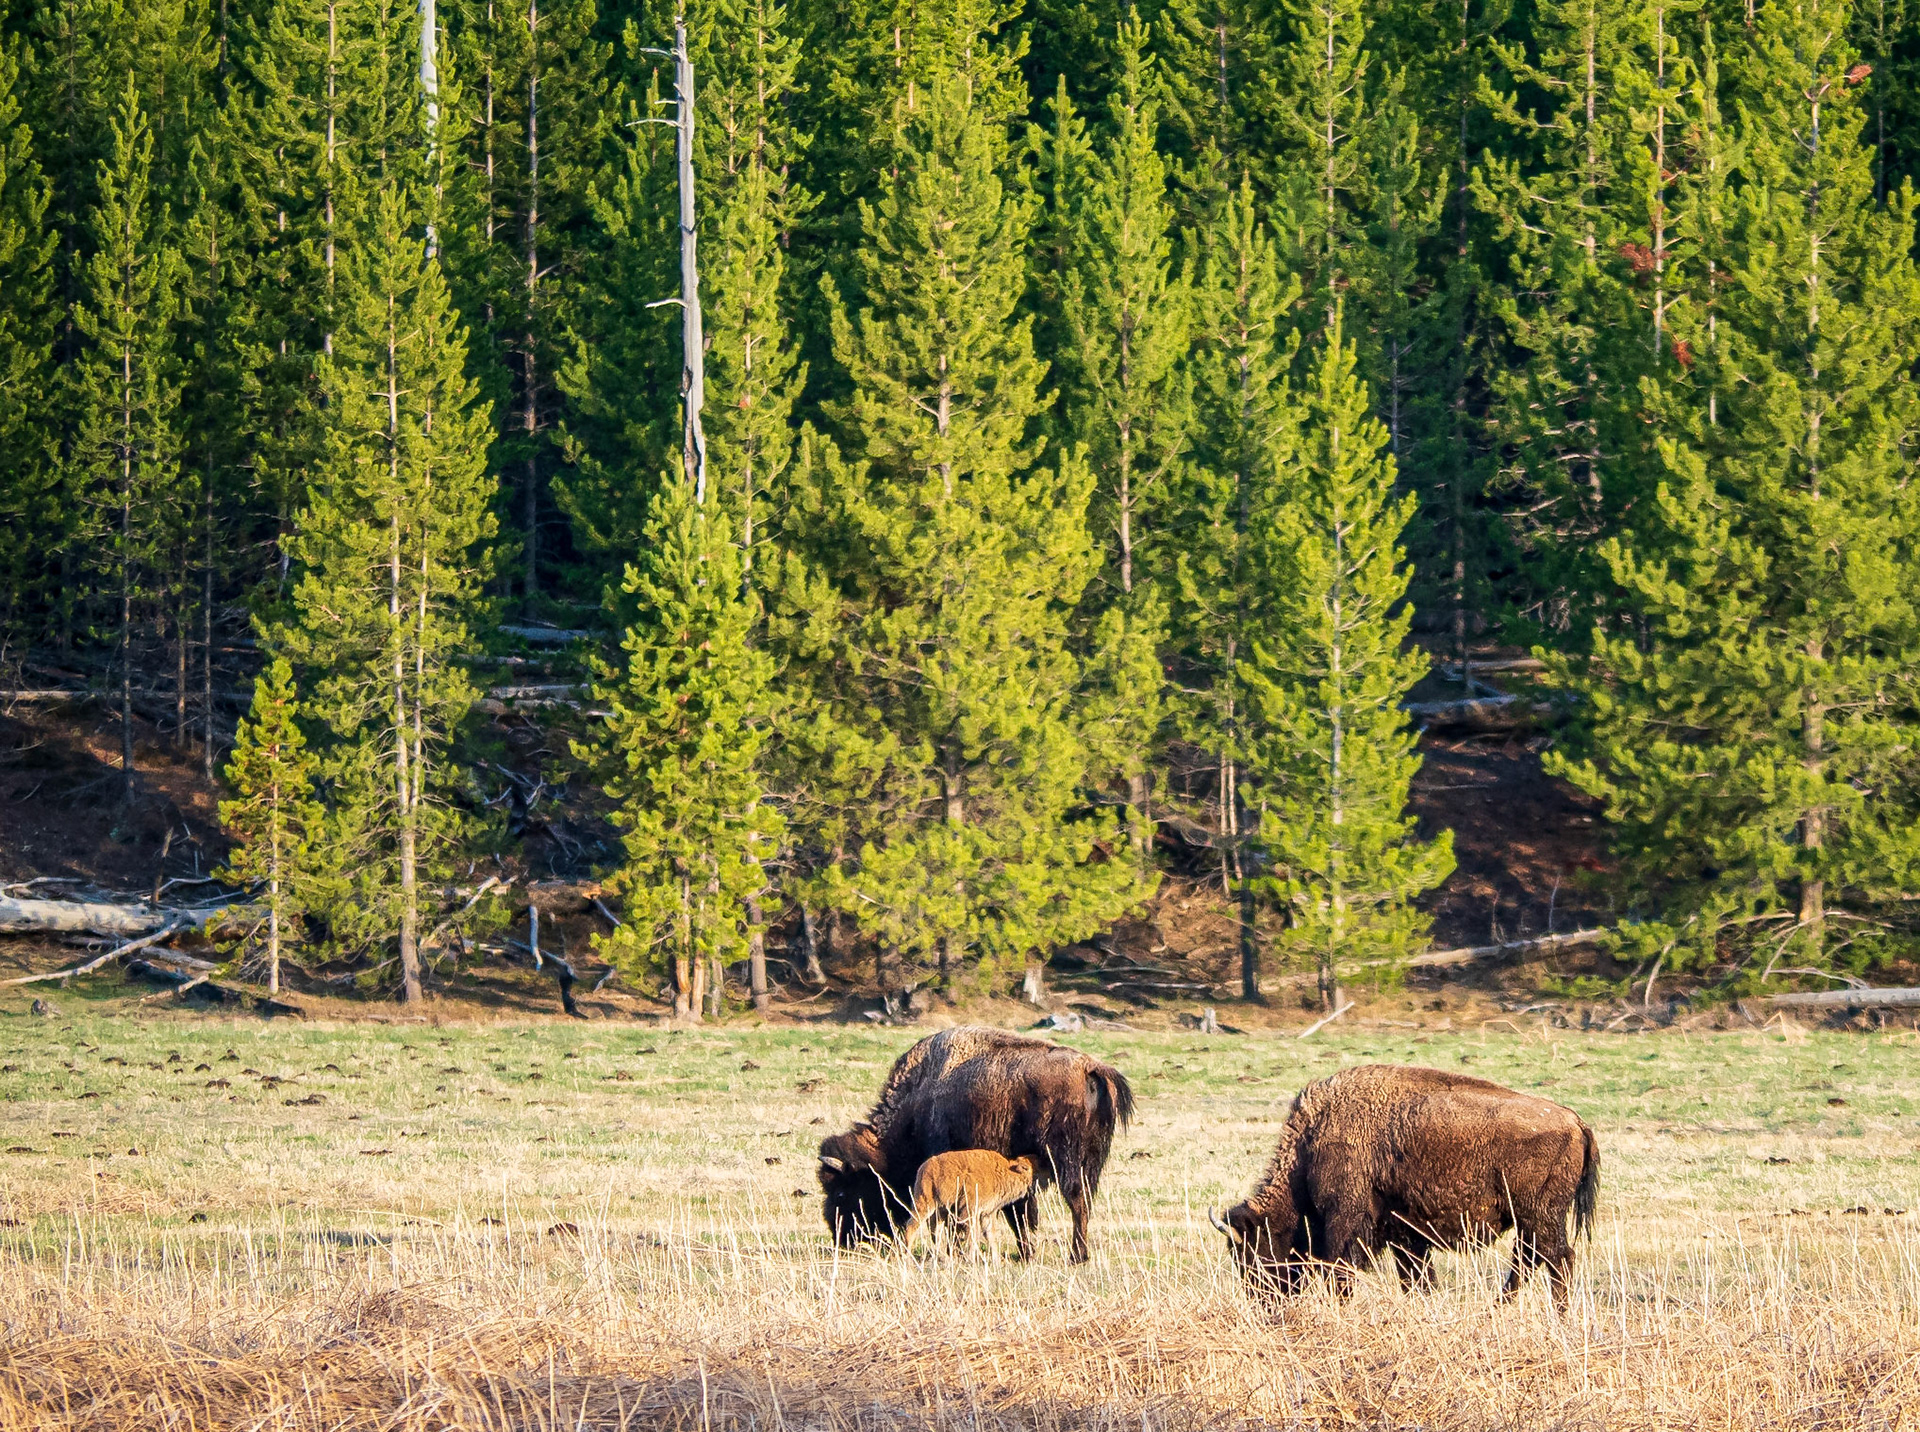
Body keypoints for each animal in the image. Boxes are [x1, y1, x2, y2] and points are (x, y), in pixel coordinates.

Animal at [818, 1026, 1132, 1263]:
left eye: (842, 1192)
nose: (841, 1238)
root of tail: (1091, 1069)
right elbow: (1019, 1213)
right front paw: (1023, 1253)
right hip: (1090, 1163)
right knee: (1084, 1202)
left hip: (1067, 1162)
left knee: (1077, 1201)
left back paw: (1077, 1255)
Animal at [1210, 1064, 1599, 1305]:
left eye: (1254, 1251)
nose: (1263, 1300)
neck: (1314, 1139)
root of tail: (1577, 1123)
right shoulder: (1405, 1233)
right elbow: (1414, 1278)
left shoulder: (1345, 1220)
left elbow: (1340, 1270)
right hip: (1529, 1221)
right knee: (1528, 1262)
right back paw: (1498, 1308)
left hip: (1539, 1215)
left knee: (1557, 1259)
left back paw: (1557, 1316)